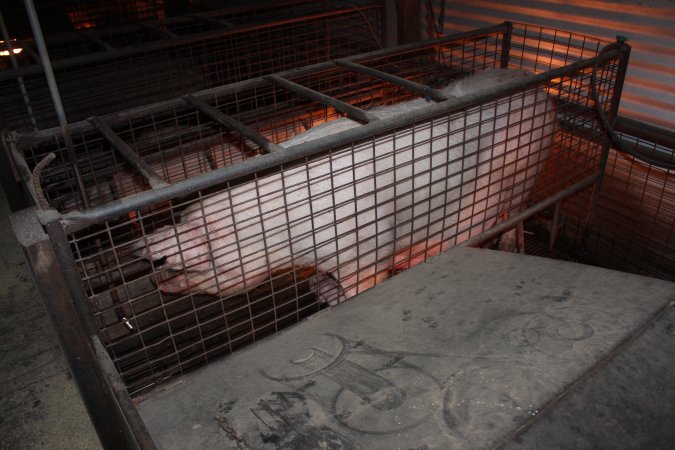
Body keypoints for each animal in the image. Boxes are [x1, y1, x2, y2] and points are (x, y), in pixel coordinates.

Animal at [135, 68, 556, 304]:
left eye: (200, 259)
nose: (154, 276)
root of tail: (545, 95)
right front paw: (319, 290)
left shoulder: (366, 243)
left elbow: (366, 280)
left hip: (525, 171)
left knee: (516, 215)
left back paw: (509, 247)